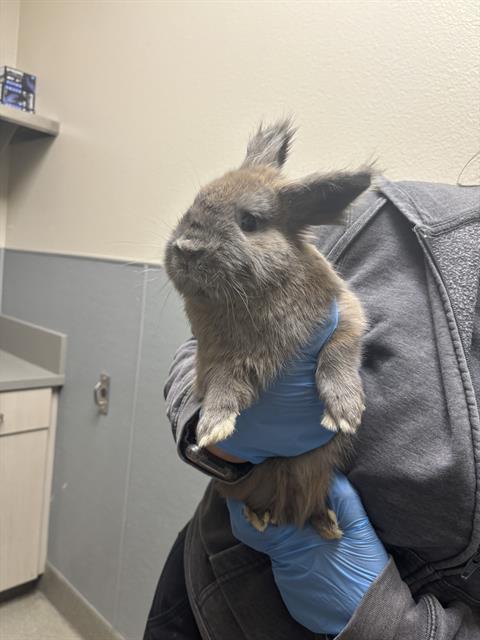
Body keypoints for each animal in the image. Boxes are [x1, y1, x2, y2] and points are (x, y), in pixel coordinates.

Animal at [164, 118, 370, 539]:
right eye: (193, 204)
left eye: (249, 222)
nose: (187, 247)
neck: (254, 295)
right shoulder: (216, 358)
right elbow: (224, 386)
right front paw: (213, 425)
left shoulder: (347, 317)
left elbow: (338, 355)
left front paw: (345, 411)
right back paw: (264, 519)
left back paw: (325, 524)